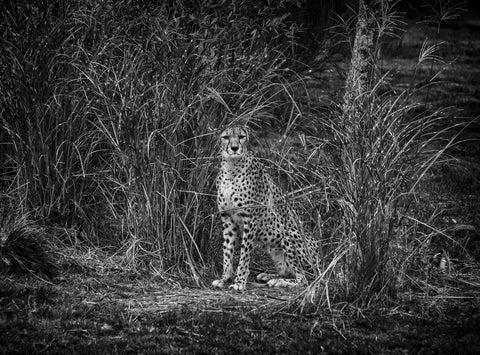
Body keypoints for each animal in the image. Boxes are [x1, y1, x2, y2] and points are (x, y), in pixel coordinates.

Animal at [211, 126, 318, 292]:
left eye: (241, 137)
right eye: (226, 137)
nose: (234, 148)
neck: (231, 167)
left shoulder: (250, 220)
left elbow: (244, 255)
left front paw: (239, 282)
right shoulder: (227, 219)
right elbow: (227, 252)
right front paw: (225, 279)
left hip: (290, 235)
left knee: (305, 279)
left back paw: (279, 282)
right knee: (290, 272)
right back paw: (269, 275)